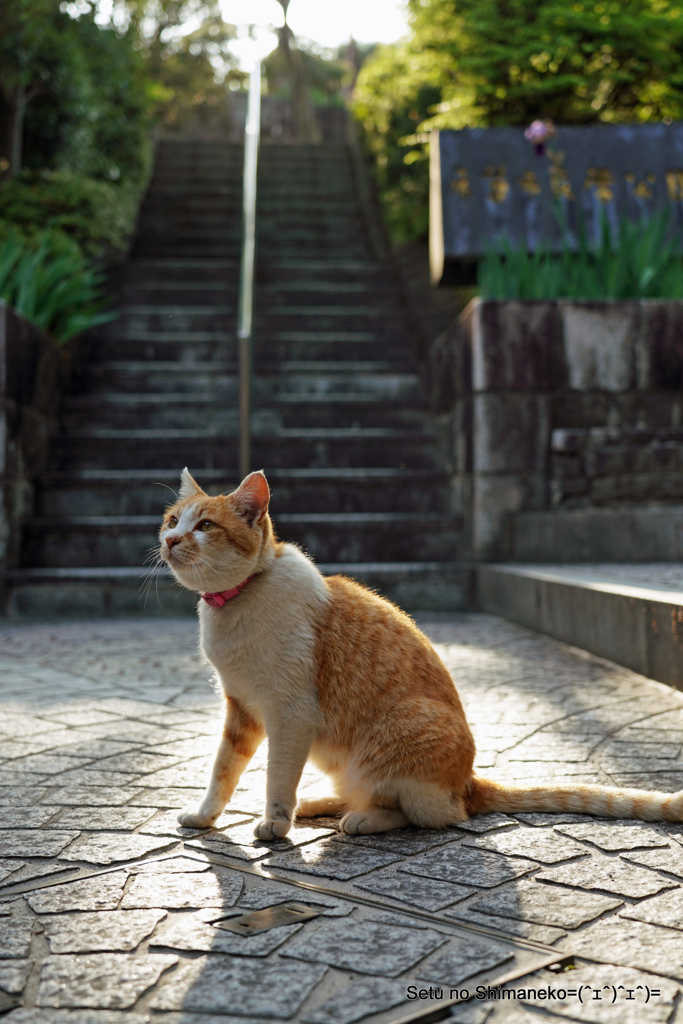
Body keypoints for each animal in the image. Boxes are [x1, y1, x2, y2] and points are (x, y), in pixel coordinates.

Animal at [158, 468, 683, 835]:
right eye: (172, 520)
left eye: (205, 525)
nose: (170, 539)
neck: (236, 601)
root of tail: (468, 782)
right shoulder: (242, 710)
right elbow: (223, 769)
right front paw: (206, 817)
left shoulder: (291, 715)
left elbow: (276, 776)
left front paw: (274, 823)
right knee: (370, 794)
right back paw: (320, 803)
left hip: (397, 734)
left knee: (426, 813)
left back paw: (359, 819)